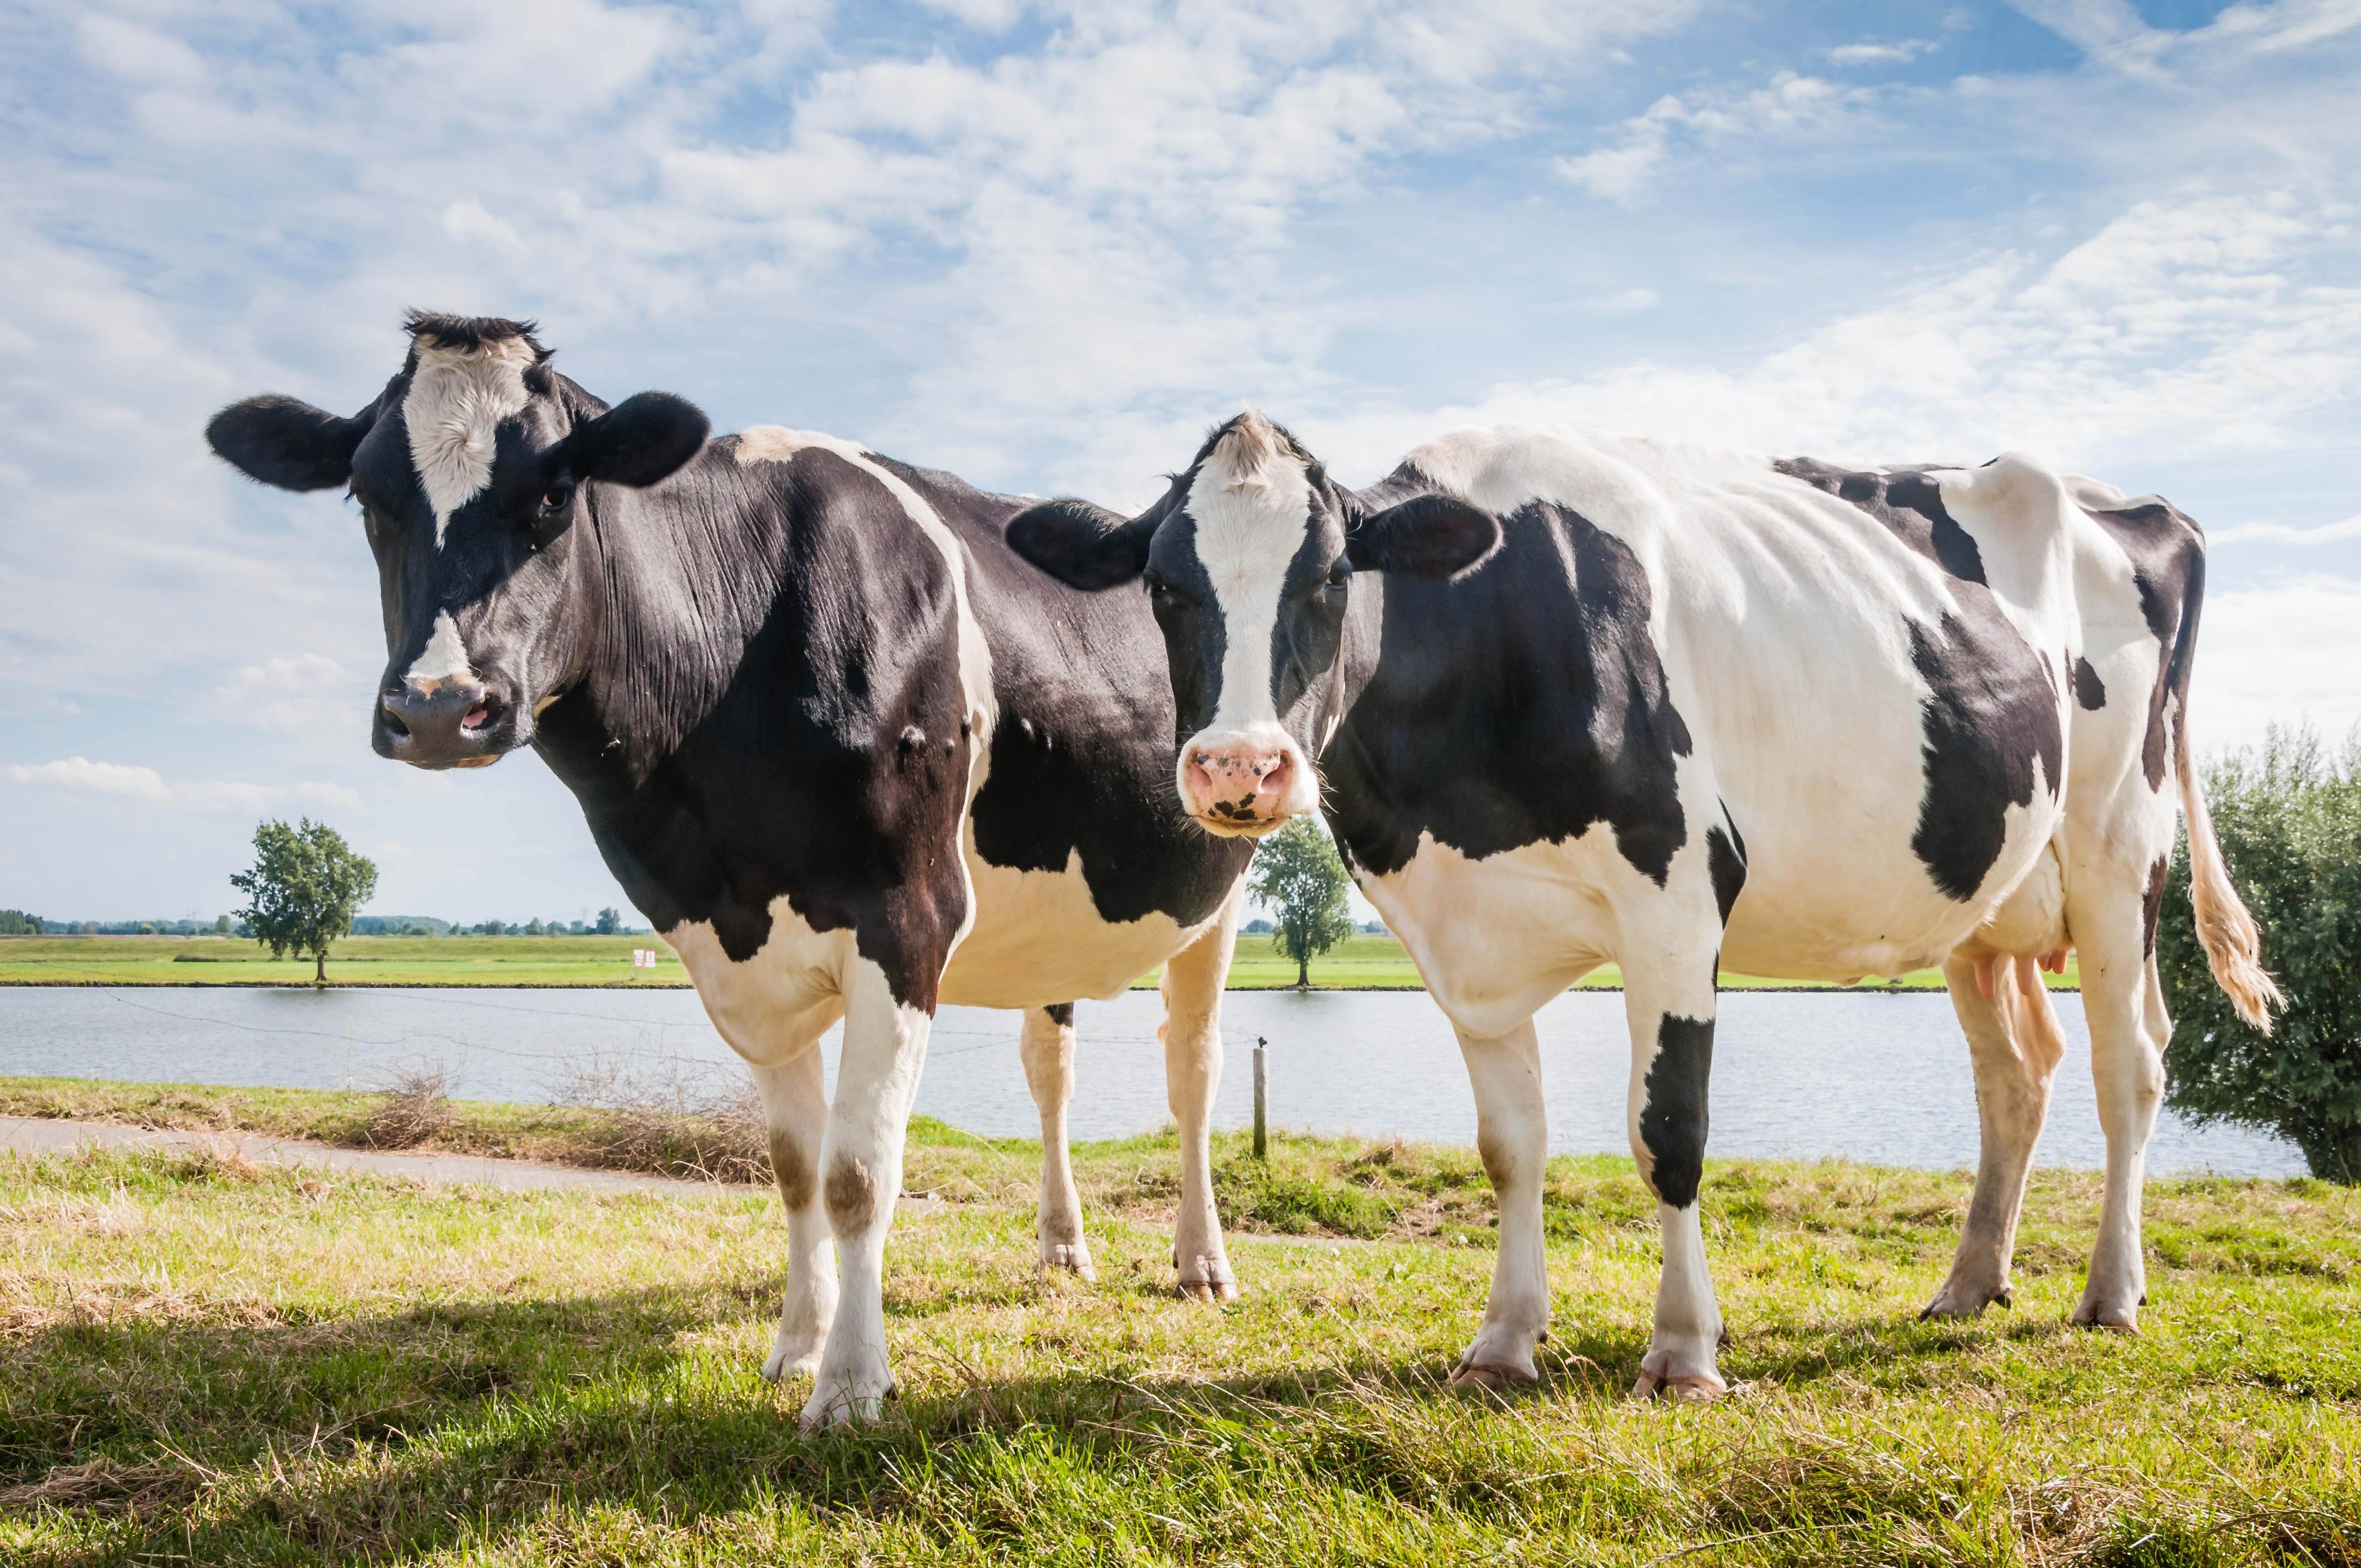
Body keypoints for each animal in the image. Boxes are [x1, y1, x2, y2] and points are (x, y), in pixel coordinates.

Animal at [205, 313, 1257, 1427]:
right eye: (368, 498)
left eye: (552, 494)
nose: (443, 707)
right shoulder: (733, 944)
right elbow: (795, 1169)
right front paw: (796, 1345)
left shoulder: (907, 917)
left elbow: (857, 1172)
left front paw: (851, 1384)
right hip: (1050, 929)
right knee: (1049, 1068)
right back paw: (1061, 1248)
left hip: (1223, 883)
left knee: (1192, 1069)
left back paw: (1201, 1263)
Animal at [1008, 411, 2282, 1400]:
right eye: (1163, 586)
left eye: (1327, 577)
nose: (1239, 768)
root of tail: (2124, 500)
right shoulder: (1458, 938)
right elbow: (1509, 1145)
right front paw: (1502, 1340)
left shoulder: (1675, 900)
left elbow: (1667, 1130)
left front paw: (1682, 1350)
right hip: (1983, 902)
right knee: (2015, 1074)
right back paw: (1968, 1282)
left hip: (2117, 848)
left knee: (2130, 1063)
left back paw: (2109, 1293)